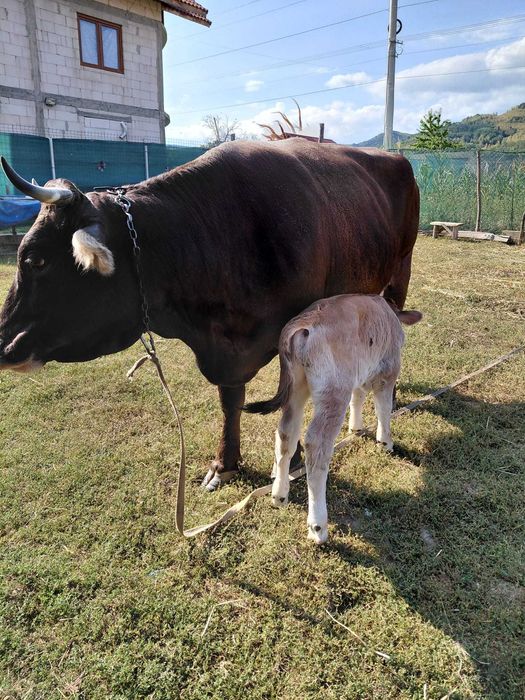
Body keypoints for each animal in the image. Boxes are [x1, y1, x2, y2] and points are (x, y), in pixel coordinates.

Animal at [0, 138, 419, 491]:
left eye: (35, 260)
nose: (4, 345)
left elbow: (288, 401)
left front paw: (293, 460)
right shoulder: (225, 352)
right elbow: (231, 401)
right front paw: (225, 463)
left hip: (401, 268)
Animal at [244, 294, 422, 544]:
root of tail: (302, 324)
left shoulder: (359, 373)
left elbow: (358, 396)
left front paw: (356, 428)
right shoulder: (387, 370)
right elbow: (384, 408)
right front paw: (385, 442)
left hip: (297, 388)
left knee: (286, 433)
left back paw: (279, 494)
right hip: (333, 391)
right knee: (316, 445)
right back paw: (318, 527)